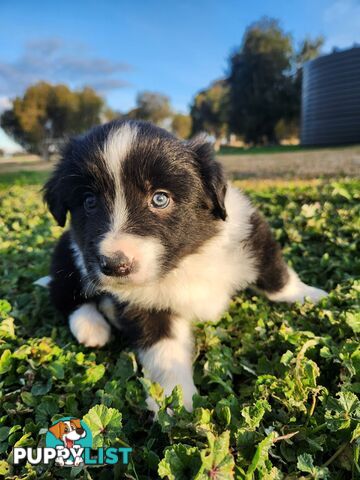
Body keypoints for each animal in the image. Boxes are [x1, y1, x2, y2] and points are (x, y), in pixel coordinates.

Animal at [43, 119, 328, 412]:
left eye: (160, 198)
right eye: (89, 202)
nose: (115, 265)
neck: (183, 262)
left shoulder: (249, 233)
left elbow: (275, 273)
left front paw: (309, 295)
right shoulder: (145, 306)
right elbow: (164, 351)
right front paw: (175, 401)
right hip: (70, 254)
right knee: (62, 292)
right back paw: (91, 326)